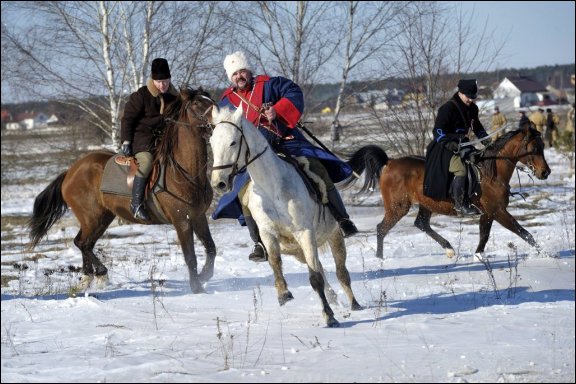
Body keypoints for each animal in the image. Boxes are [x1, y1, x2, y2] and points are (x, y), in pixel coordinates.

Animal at [27, 87, 217, 292]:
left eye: (210, 99)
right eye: (197, 103)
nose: (218, 119)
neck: (185, 171)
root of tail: (70, 172)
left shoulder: (198, 217)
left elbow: (211, 249)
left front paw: (205, 276)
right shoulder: (181, 221)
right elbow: (191, 257)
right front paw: (197, 288)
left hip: (101, 217)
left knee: (85, 243)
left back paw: (88, 278)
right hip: (92, 217)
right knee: (82, 243)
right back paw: (100, 273)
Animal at [209, 105, 362, 328]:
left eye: (233, 142)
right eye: (212, 142)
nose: (218, 183)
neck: (272, 187)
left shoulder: (305, 233)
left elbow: (315, 278)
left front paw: (329, 316)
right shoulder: (268, 234)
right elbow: (275, 263)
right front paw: (283, 293)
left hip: (334, 236)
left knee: (341, 272)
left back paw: (354, 303)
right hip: (299, 251)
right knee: (320, 269)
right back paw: (334, 299)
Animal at [344, 122, 552, 260]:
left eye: (542, 146)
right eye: (534, 148)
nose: (545, 172)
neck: (491, 172)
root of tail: (389, 162)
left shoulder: (488, 213)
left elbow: (484, 235)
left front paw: (478, 256)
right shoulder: (498, 211)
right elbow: (524, 232)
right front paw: (546, 254)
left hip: (426, 204)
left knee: (421, 224)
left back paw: (449, 249)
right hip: (398, 207)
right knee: (381, 228)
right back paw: (380, 259)